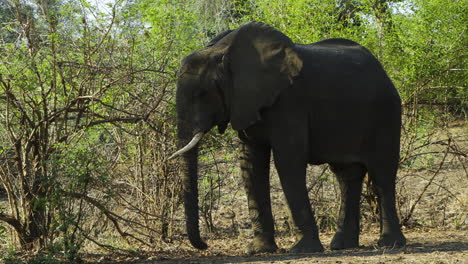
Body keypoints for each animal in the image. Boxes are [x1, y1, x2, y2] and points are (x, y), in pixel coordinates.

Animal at [171, 22, 406, 254]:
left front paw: (303, 249)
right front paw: (259, 250)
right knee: (347, 176)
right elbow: (251, 163)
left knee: (382, 174)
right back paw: (342, 245)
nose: (204, 245)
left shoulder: (289, 103)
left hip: (386, 114)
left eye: (202, 94)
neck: (222, 51)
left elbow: (288, 161)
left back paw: (390, 244)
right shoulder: (246, 103)